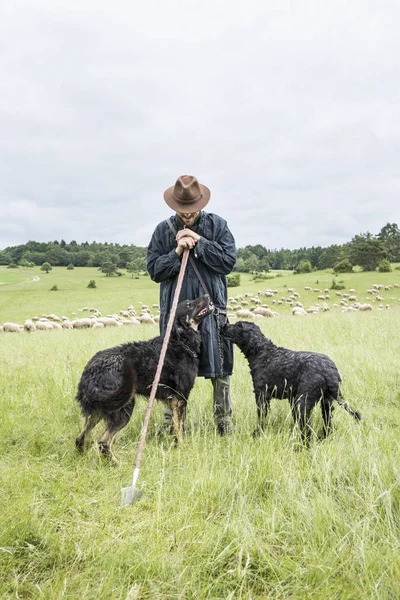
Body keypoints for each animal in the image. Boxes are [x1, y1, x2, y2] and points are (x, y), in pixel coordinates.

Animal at [75, 294, 212, 460]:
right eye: (189, 305)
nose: (206, 295)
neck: (180, 341)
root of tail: (90, 371)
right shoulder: (180, 398)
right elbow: (178, 428)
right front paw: (180, 448)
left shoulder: (172, 400)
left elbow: (174, 426)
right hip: (123, 406)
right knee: (103, 442)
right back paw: (116, 463)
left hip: (100, 409)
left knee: (80, 438)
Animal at [223, 324, 360, 446]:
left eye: (239, 325)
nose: (223, 325)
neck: (262, 352)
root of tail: (330, 371)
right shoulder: (291, 398)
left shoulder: (262, 395)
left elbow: (261, 418)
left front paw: (257, 434)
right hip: (326, 402)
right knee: (328, 425)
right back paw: (321, 439)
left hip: (303, 402)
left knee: (307, 430)